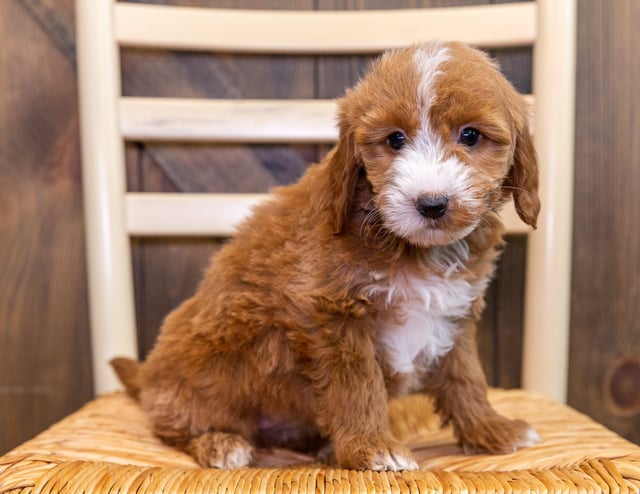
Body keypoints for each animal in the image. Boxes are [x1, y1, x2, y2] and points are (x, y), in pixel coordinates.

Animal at [114, 41, 540, 470]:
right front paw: (372, 447)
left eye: (470, 135)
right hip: (193, 377)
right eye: (395, 140)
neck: (413, 248)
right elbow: (356, 384)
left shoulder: (455, 311)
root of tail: (147, 376)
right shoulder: (334, 313)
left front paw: (491, 428)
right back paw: (218, 443)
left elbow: (465, 376)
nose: (431, 203)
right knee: (173, 424)